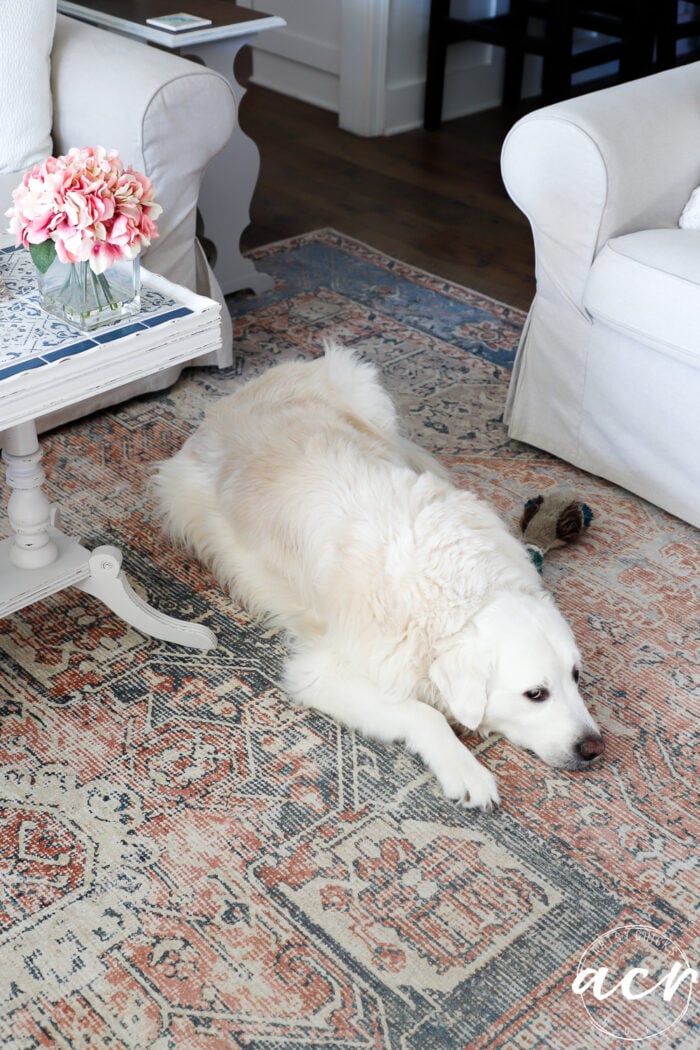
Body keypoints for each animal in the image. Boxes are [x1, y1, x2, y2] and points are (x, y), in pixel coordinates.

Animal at [153, 348, 604, 806]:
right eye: (536, 694)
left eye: (576, 675)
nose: (594, 748)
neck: (460, 589)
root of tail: (247, 387)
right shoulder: (323, 672)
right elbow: (422, 712)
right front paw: (465, 771)